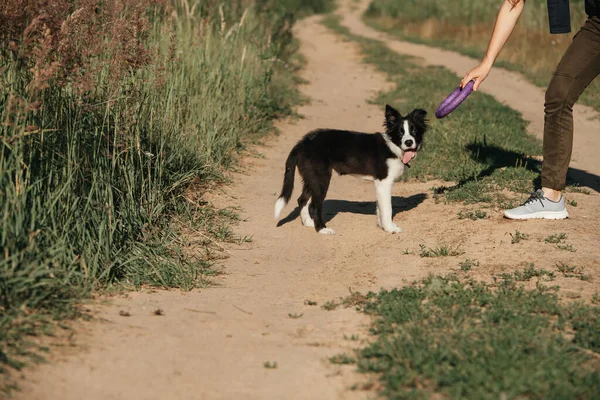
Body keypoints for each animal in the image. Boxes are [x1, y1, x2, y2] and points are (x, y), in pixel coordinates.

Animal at [272, 104, 426, 234]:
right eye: (400, 133)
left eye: (414, 130)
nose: (409, 142)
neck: (393, 147)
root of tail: (301, 143)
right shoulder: (384, 182)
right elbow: (387, 208)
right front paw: (390, 229)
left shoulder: (379, 184)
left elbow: (380, 208)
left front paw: (382, 226)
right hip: (321, 178)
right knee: (314, 205)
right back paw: (322, 229)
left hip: (311, 177)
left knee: (302, 199)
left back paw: (309, 223)